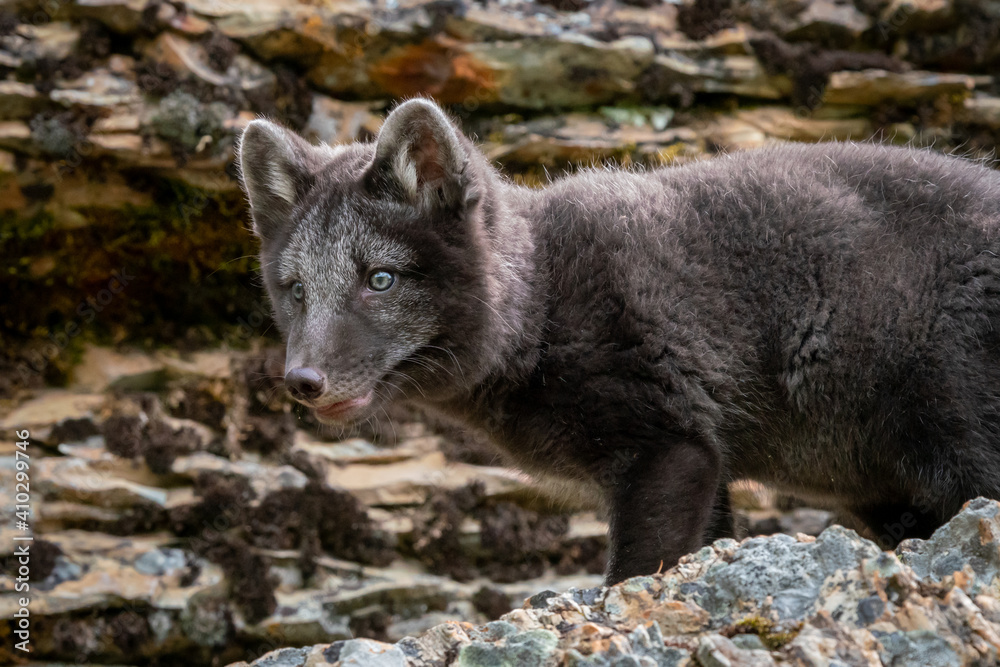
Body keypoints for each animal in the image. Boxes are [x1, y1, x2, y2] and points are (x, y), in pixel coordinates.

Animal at [240, 99, 1000, 584]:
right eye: (295, 289)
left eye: (380, 278)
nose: (301, 381)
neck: (542, 309)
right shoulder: (708, 464)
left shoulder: (670, 446)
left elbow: (631, 575)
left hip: (962, 450)